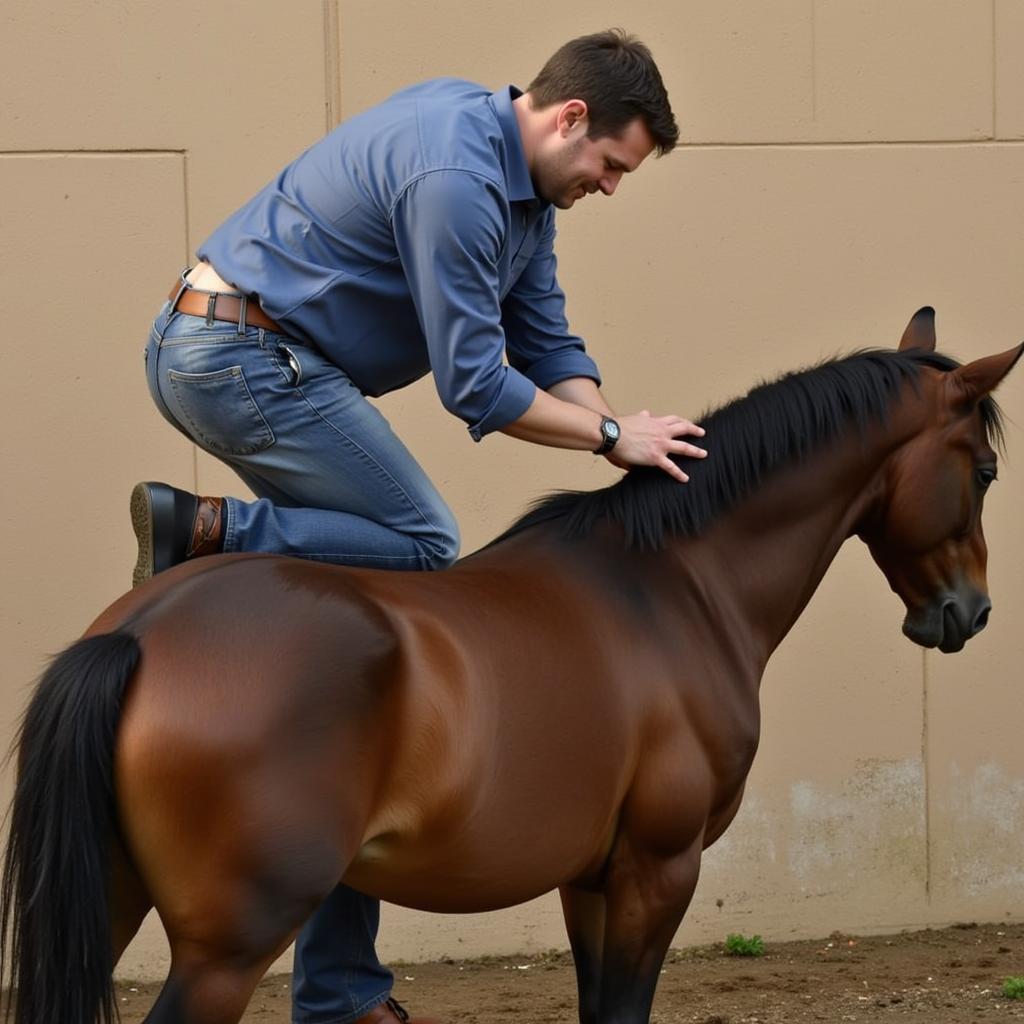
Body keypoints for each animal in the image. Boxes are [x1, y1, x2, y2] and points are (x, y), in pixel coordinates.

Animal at [0, 307, 1019, 1019]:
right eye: (984, 472)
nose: (968, 612)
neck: (671, 582)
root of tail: (140, 633)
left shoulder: (590, 879)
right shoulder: (658, 870)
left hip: (110, 901)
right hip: (226, 947)